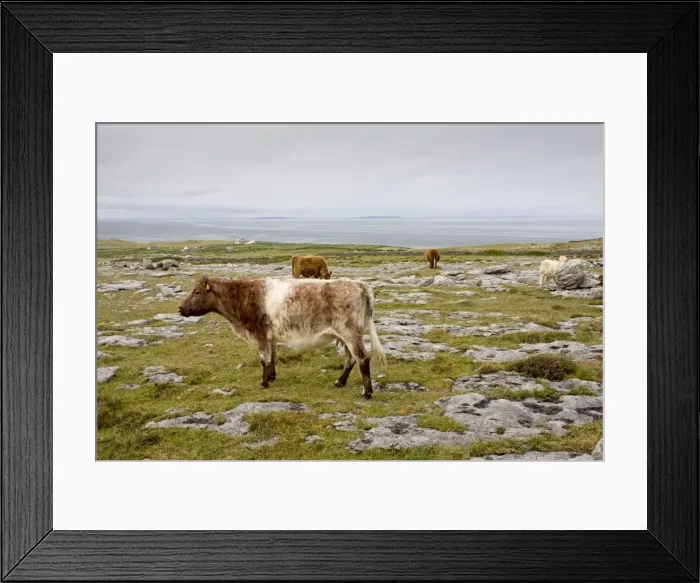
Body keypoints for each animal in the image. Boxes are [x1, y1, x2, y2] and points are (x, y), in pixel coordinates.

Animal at [179, 276, 386, 399]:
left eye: (196, 292)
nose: (180, 308)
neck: (242, 298)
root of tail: (359, 284)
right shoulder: (270, 337)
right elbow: (272, 357)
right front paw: (271, 377)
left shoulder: (259, 334)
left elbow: (264, 359)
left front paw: (263, 383)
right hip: (346, 336)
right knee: (350, 359)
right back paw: (339, 382)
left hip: (350, 333)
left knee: (362, 358)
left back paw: (367, 392)